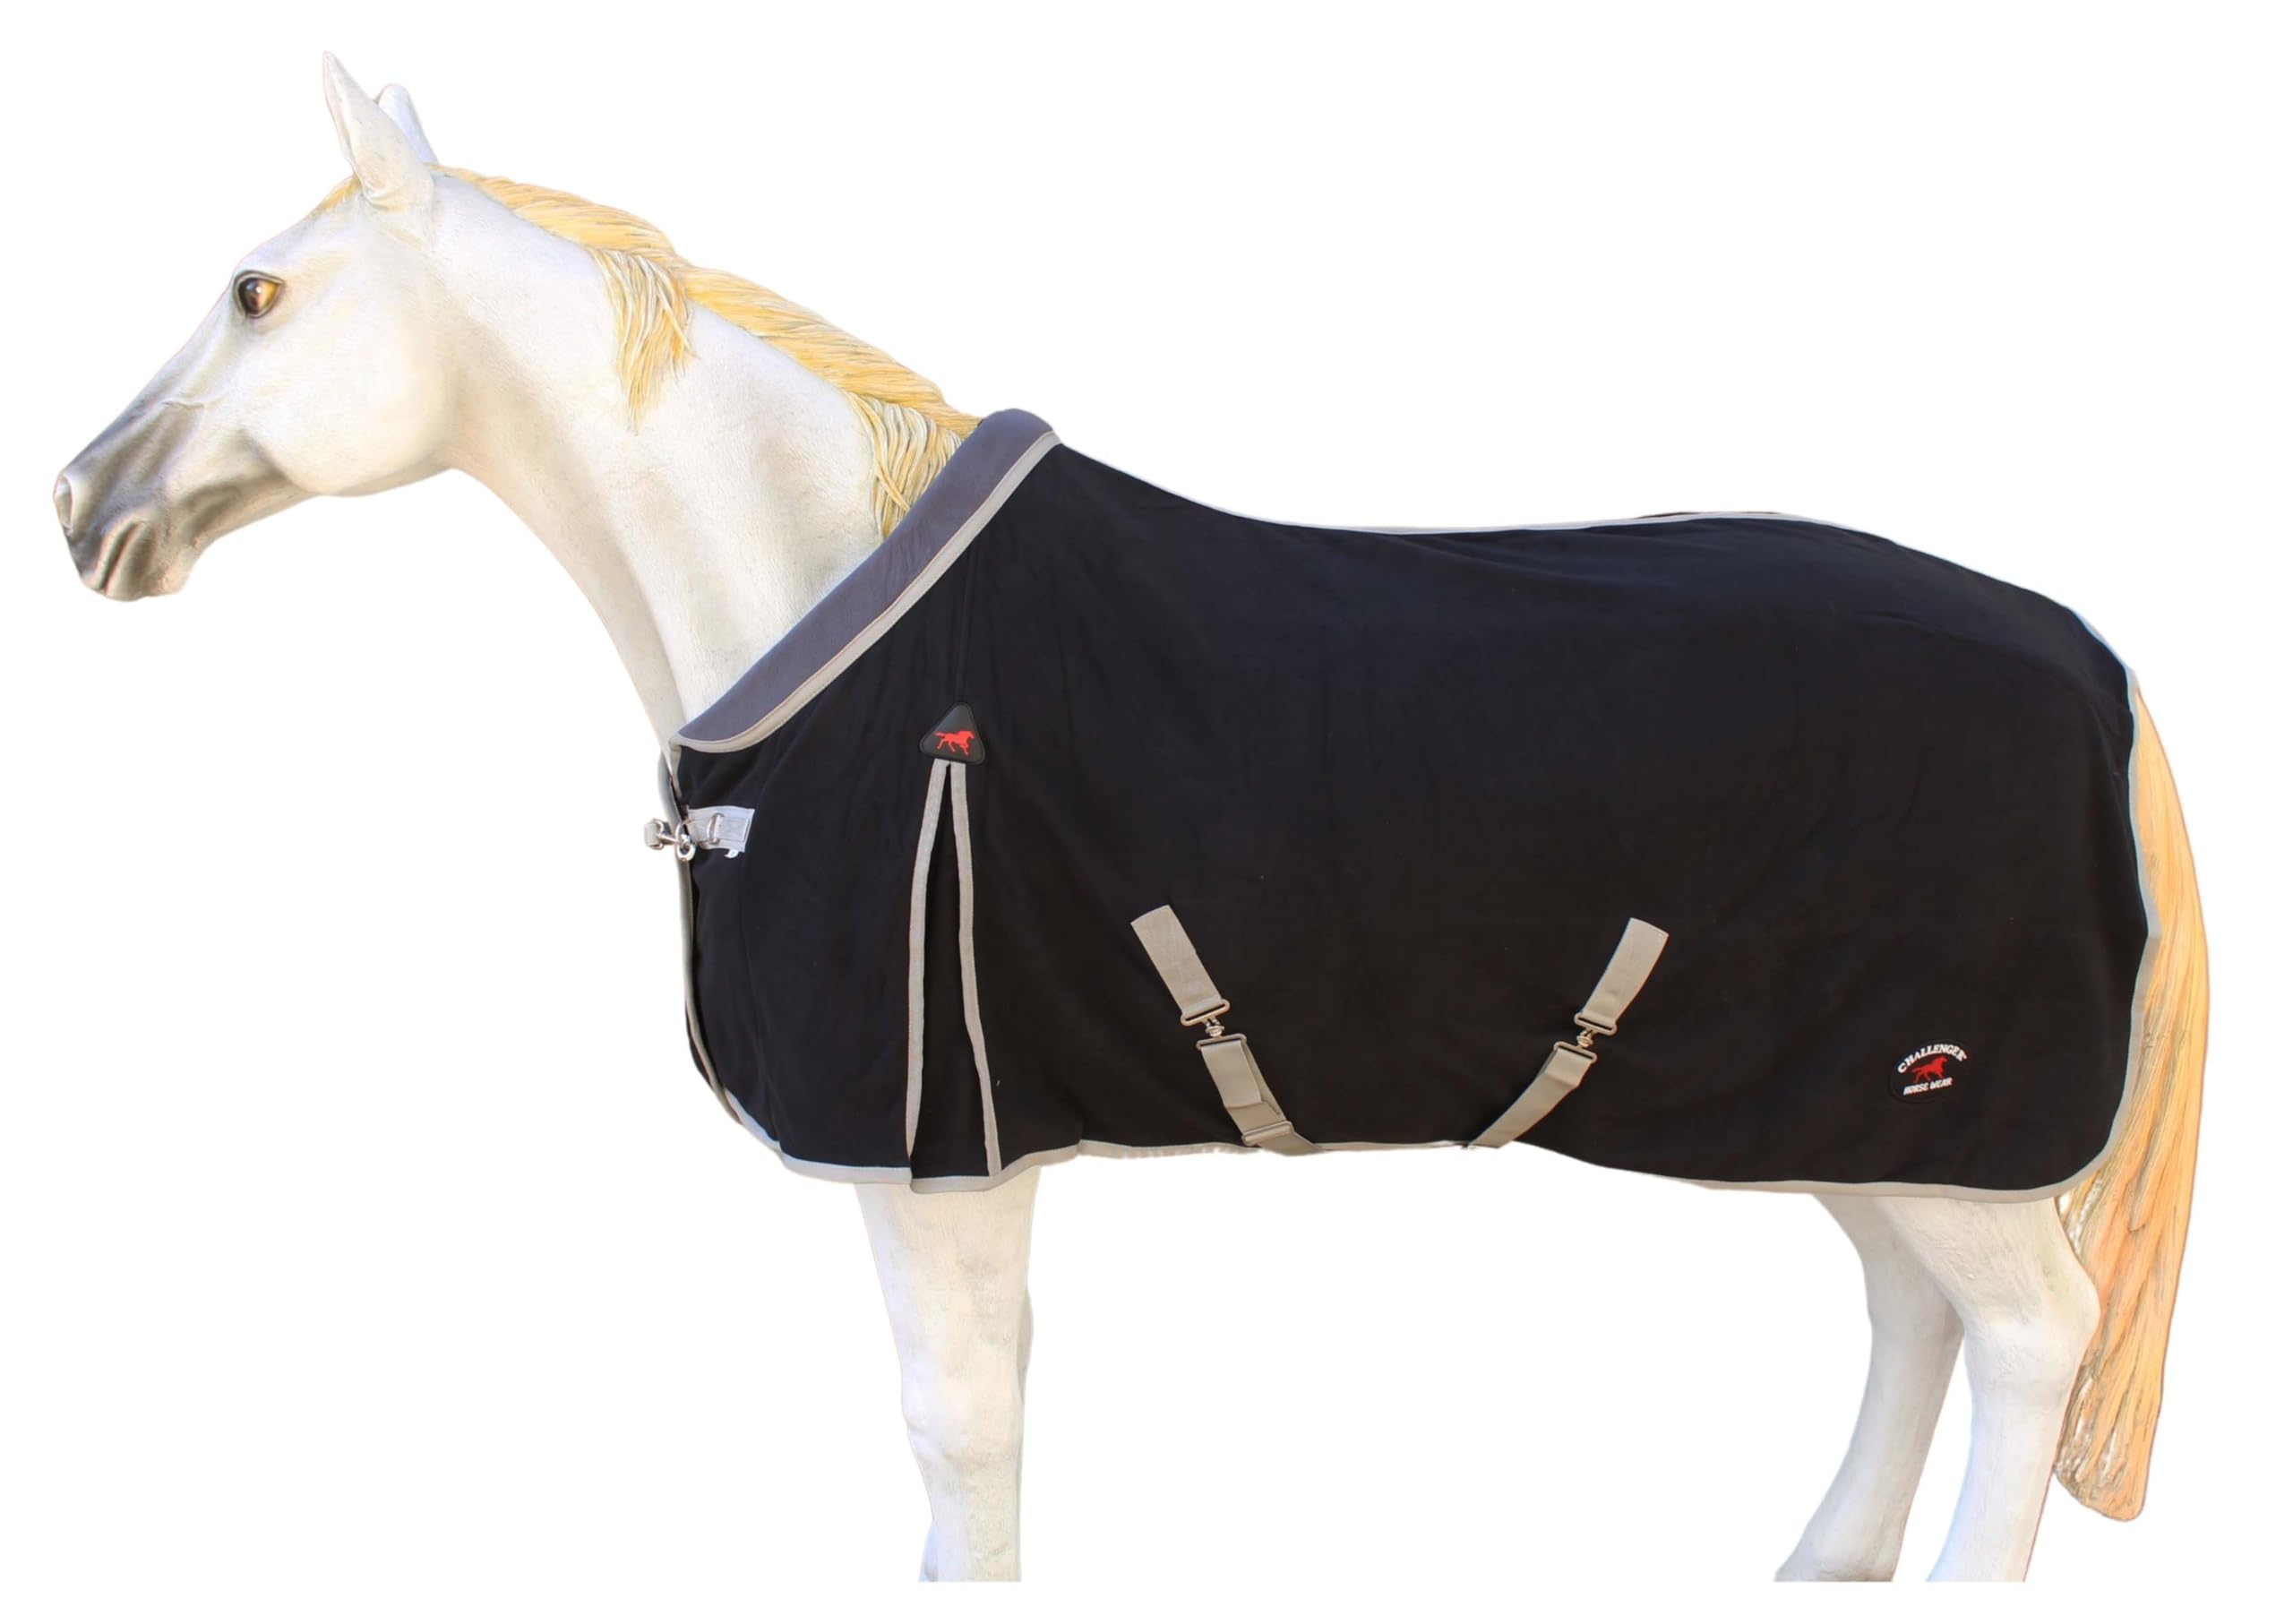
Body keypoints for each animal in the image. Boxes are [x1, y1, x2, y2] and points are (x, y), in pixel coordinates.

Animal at [51, 57, 2206, 1583]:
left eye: (256, 289)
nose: (84, 503)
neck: (851, 635)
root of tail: (2094, 663)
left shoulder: (944, 1155)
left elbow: (962, 1436)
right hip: (1855, 1109)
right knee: (1911, 1317)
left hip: (1942, 1120)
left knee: (2025, 1342)